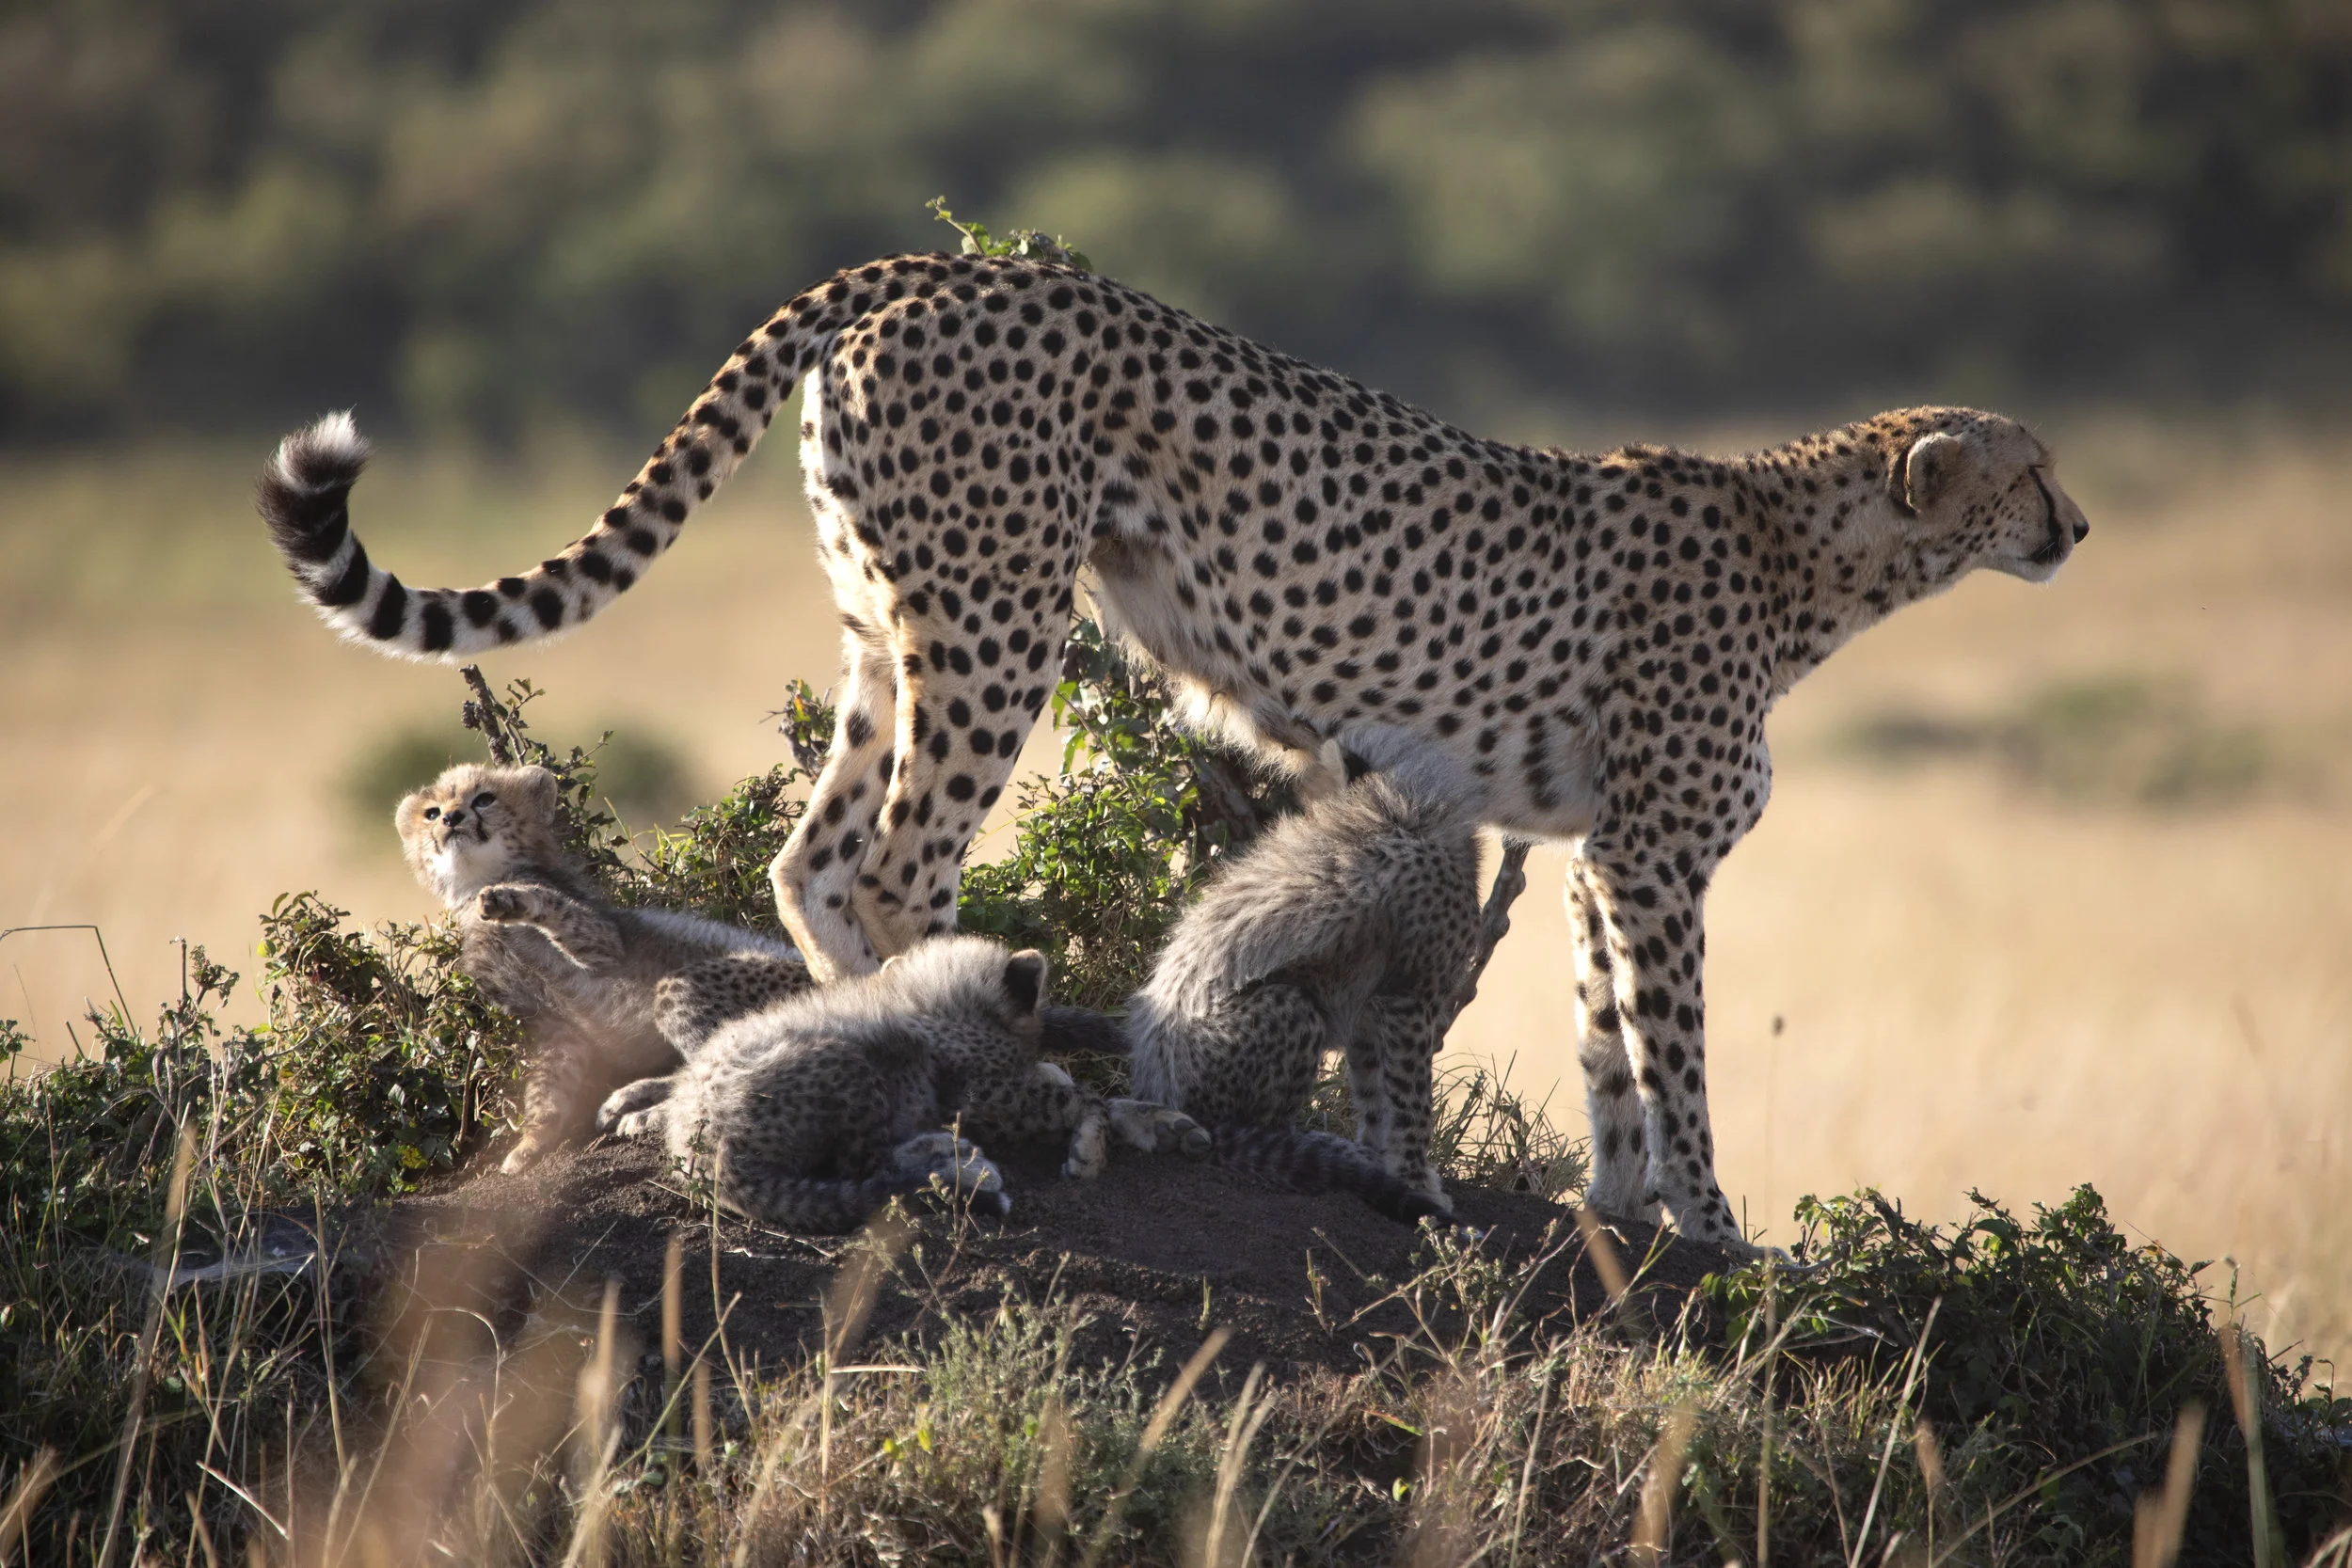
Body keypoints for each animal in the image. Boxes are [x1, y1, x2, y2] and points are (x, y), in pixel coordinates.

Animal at [396, 762, 810, 1174]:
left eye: (484, 799)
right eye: (431, 812)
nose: (451, 819)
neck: (475, 883)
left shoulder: (605, 945)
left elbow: (556, 908)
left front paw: (515, 900)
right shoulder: (551, 1023)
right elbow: (548, 1089)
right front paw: (530, 1145)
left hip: (691, 989)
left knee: (724, 1069)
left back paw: (652, 1112)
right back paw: (634, 1096)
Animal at [595, 935, 1196, 1232]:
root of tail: (700, 1152)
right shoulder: (983, 1094)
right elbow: (1081, 1096)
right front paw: (1092, 1144)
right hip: (844, 1061)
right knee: (864, 1169)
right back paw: (958, 1164)